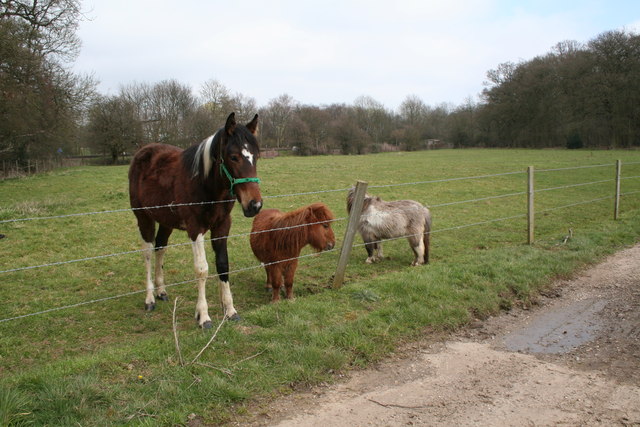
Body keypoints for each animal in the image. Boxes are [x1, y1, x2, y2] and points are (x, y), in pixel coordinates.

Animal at [128, 112, 262, 328]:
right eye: (233, 157)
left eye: (256, 157)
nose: (254, 205)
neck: (206, 183)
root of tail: (142, 152)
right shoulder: (195, 228)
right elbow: (201, 269)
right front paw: (204, 316)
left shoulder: (222, 226)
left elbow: (223, 265)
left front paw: (230, 310)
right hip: (143, 217)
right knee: (148, 252)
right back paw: (149, 299)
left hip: (166, 221)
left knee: (160, 247)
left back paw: (161, 291)